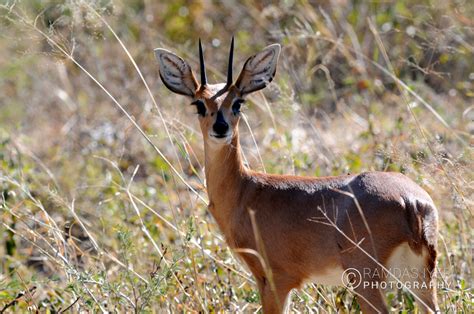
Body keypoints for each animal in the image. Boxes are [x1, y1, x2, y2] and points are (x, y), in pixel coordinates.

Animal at [156, 38, 440, 312]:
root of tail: (412, 202)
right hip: (421, 279)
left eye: (237, 102)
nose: (220, 127)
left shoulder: (275, 281)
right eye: (199, 104)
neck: (245, 190)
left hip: (365, 279)